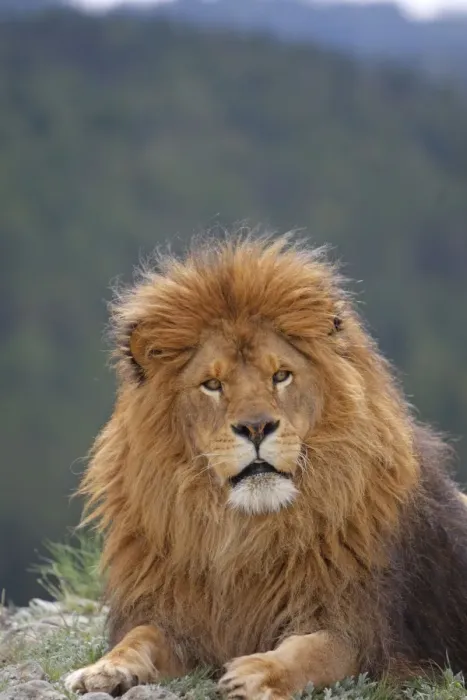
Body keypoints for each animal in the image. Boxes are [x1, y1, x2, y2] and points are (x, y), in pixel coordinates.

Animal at [65, 235, 467, 699]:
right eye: (212, 384)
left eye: (281, 376)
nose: (256, 427)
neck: (248, 532)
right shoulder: (181, 620)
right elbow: (139, 637)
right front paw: (103, 669)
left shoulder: (364, 631)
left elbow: (310, 651)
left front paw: (254, 674)